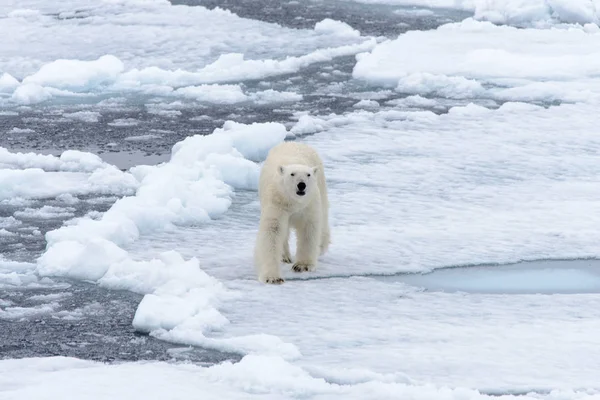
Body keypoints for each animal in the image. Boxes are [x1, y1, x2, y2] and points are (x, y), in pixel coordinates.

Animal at [252, 141, 328, 284]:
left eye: (308, 175)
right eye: (292, 174)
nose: (301, 185)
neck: (294, 202)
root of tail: (294, 142)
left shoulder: (308, 205)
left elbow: (308, 230)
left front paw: (303, 266)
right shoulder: (277, 203)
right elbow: (273, 231)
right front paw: (273, 277)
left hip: (321, 183)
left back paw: (322, 246)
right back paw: (284, 256)